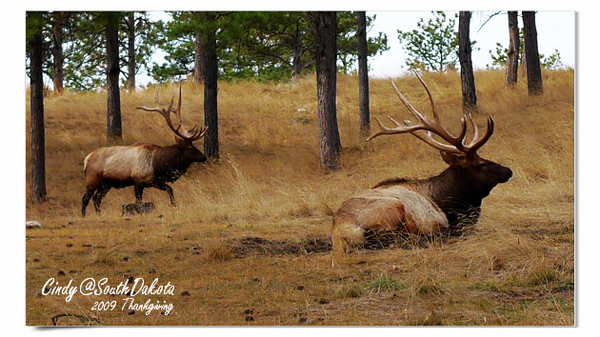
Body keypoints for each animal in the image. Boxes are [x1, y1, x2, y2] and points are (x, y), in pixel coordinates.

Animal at [81, 88, 209, 217]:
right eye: (190, 148)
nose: (204, 157)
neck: (159, 165)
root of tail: (87, 159)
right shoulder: (138, 181)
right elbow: (139, 202)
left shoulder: (155, 181)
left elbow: (170, 190)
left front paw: (174, 205)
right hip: (93, 179)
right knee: (85, 198)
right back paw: (84, 215)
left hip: (106, 184)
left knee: (96, 199)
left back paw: (99, 214)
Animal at [330, 74, 512, 252]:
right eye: (482, 163)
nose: (509, 170)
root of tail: (341, 233)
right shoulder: (437, 221)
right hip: (392, 208)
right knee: (394, 239)